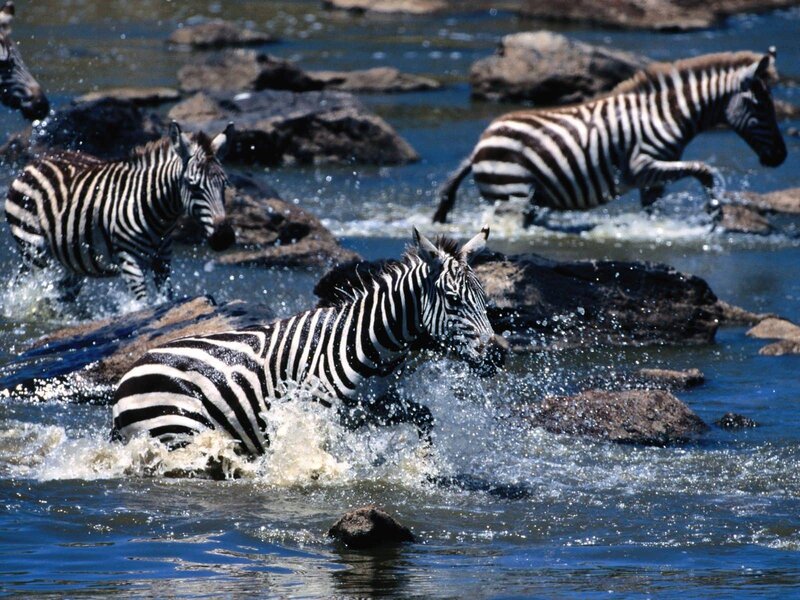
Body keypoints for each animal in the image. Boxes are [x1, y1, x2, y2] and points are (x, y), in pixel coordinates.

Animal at [5, 121, 236, 303]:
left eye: (225, 185)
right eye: (193, 186)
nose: (224, 238)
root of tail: (35, 162)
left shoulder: (163, 259)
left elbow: (166, 298)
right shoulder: (129, 259)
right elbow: (142, 305)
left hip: (72, 258)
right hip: (34, 249)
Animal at [111, 227, 508, 458]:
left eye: (483, 298)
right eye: (453, 300)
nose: (498, 355)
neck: (367, 343)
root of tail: (132, 368)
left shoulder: (372, 406)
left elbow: (424, 417)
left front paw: (422, 464)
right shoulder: (315, 412)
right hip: (176, 431)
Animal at [432, 50, 787, 225]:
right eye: (761, 106)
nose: (782, 157)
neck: (667, 115)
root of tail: (479, 145)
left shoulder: (654, 178)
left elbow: (653, 209)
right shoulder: (641, 167)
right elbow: (704, 170)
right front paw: (714, 211)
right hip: (511, 193)